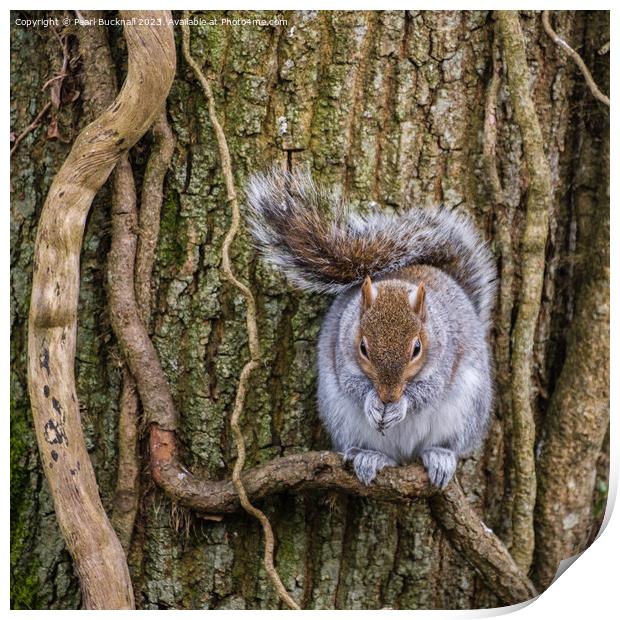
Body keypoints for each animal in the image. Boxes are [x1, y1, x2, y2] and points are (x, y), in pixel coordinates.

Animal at [245, 170, 496, 490]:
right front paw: (372, 403)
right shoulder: (342, 352)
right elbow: (352, 385)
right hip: (341, 417)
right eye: (363, 347)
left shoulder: (445, 357)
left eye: (417, 349)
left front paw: (402, 405)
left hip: (466, 409)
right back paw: (371, 457)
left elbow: (428, 391)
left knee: (448, 444)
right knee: (384, 455)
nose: (388, 397)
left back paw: (440, 457)